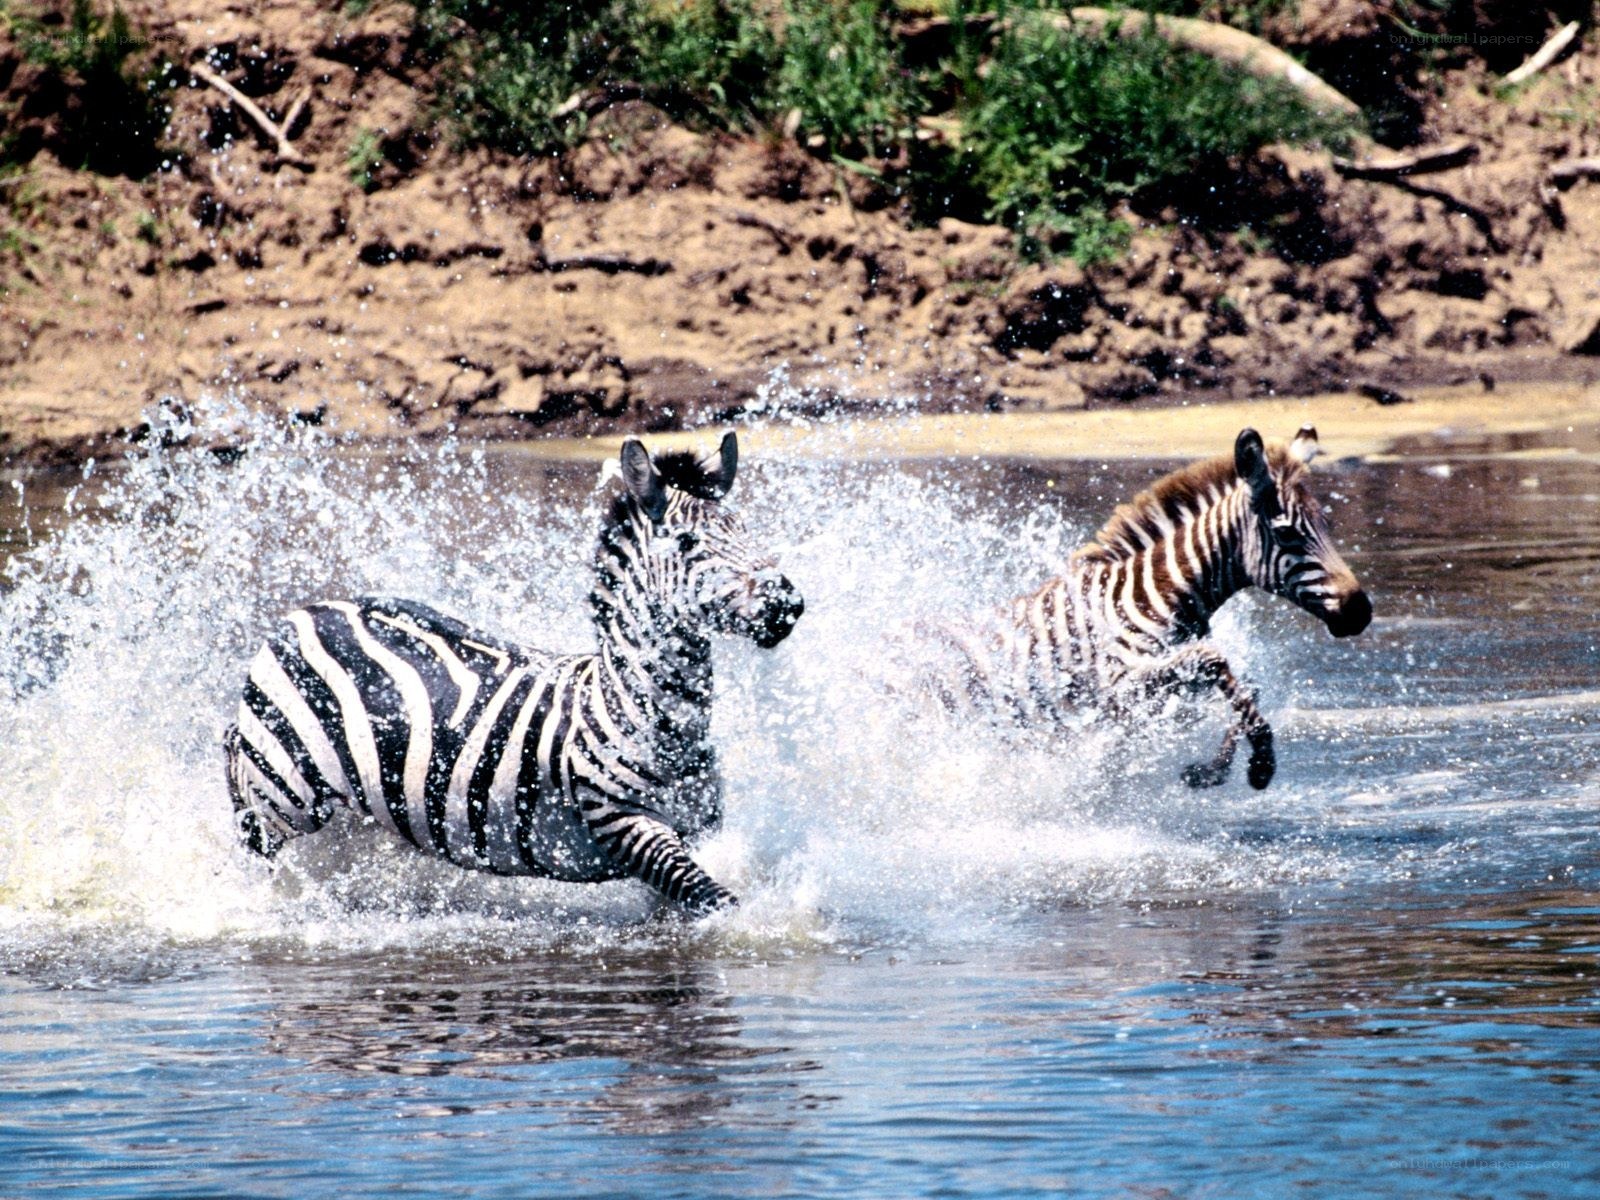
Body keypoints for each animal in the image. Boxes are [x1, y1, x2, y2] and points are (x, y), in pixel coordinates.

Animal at [223, 432, 803, 916]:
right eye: (686, 543)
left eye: (746, 530)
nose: (787, 604)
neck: (638, 708)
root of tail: (302, 615)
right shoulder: (623, 821)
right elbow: (716, 897)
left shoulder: (698, 828)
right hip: (281, 798)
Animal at [925, 426, 1371, 789]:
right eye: (1287, 534)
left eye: (1327, 526)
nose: (1362, 612)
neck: (1160, 591)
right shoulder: (1118, 684)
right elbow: (1214, 660)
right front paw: (1261, 763)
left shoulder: (1161, 684)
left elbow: (1244, 683)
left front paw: (1209, 771)